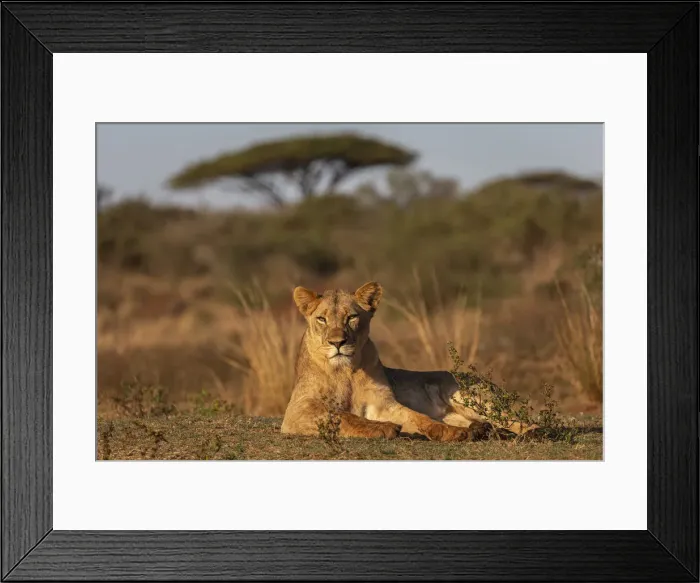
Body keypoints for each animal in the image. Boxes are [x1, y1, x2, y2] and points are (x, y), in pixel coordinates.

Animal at [281, 282, 536, 442]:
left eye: (352, 317)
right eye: (321, 319)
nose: (337, 342)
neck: (346, 372)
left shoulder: (384, 405)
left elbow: (419, 417)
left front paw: (448, 432)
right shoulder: (298, 409)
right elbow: (342, 415)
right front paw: (384, 428)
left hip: (468, 396)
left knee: (522, 421)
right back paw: (482, 430)